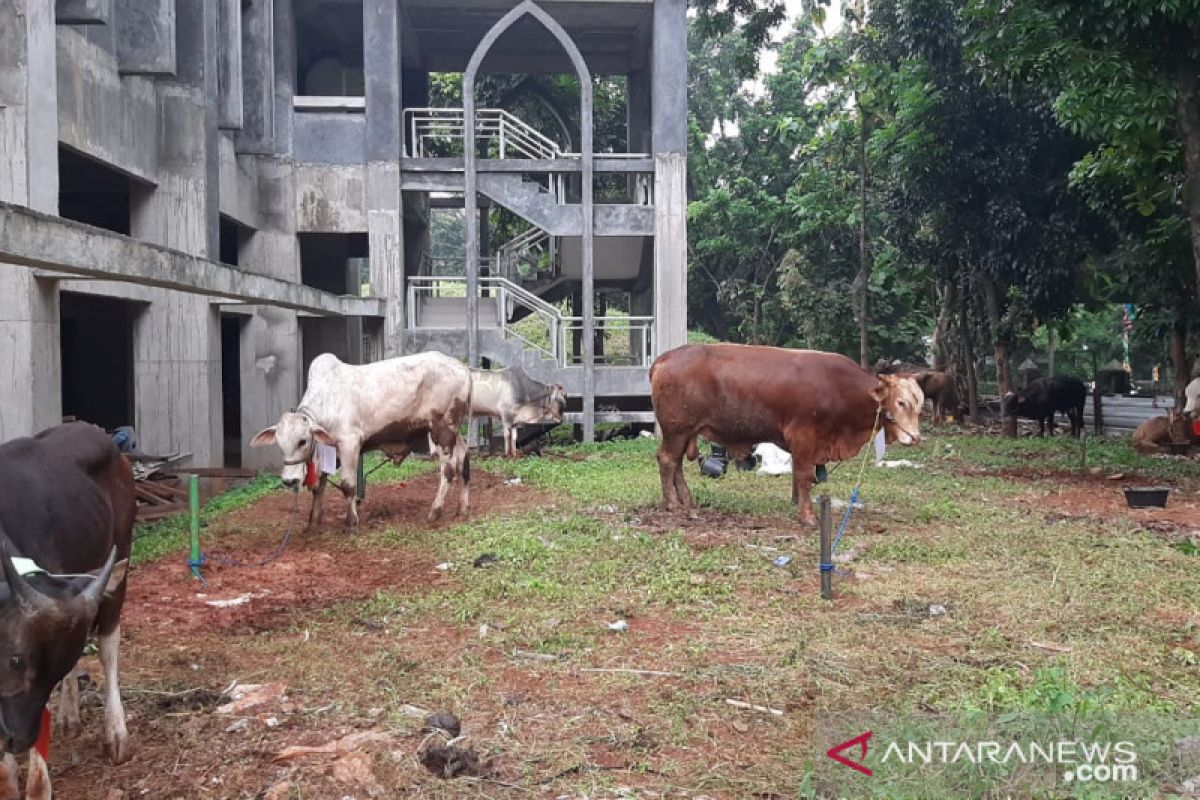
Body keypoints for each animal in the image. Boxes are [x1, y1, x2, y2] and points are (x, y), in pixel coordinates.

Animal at [0, 422, 132, 796]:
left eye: (49, 676)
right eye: (17, 660)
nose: (17, 739)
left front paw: (36, 787)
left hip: (121, 562)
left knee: (108, 647)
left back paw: (116, 732)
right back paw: (69, 715)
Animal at [250, 352, 470, 527]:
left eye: (303, 441)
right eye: (279, 445)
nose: (289, 481)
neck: (326, 402)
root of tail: (463, 369)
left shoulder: (350, 444)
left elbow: (348, 485)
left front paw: (351, 522)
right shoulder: (330, 453)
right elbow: (319, 487)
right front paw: (313, 523)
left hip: (443, 430)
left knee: (448, 470)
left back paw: (435, 512)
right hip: (454, 431)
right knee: (463, 460)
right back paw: (461, 509)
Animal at [652, 345, 921, 525]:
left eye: (918, 404)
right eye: (901, 402)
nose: (916, 437)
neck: (837, 388)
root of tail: (666, 357)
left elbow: (801, 476)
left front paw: (798, 503)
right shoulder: (803, 436)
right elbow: (804, 475)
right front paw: (807, 515)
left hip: (683, 432)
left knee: (676, 464)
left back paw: (687, 501)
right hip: (677, 430)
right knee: (667, 460)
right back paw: (673, 504)